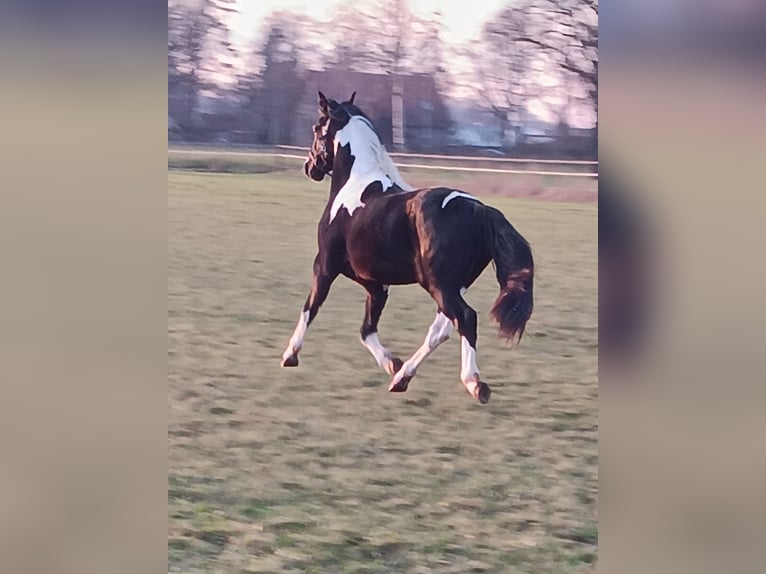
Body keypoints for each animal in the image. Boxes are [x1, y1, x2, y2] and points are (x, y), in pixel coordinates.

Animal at [280, 91, 536, 404]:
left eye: (317, 128)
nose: (310, 167)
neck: (355, 186)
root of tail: (480, 210)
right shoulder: (376, 284)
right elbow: (367, 330)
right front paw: (393, 364)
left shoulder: (325, 265)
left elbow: (310, 307)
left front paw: (290, 355)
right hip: (454, 286)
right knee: (441, 330)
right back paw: (402, 378)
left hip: (440, 286)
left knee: (465, 319)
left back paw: (474, 383)